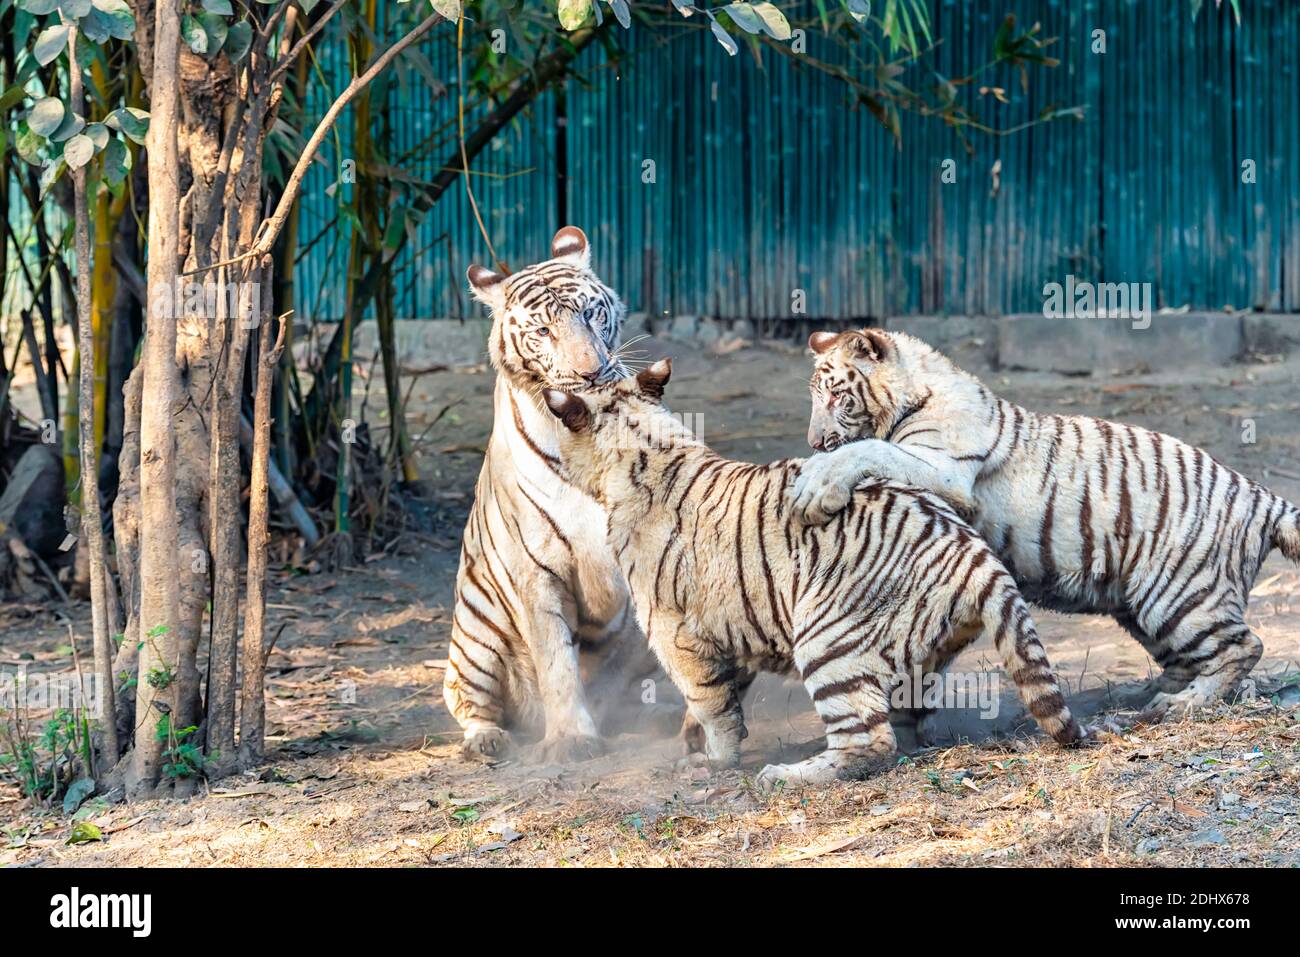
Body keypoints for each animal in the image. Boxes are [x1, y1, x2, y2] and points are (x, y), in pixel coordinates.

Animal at [790, 328, 1300, 717]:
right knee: (1189, 657)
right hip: (1144, 606)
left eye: (837, 394)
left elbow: (868, 449)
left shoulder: (945, 468)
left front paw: (813, 488)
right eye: (815, 396)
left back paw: (1182, 704)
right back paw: (1149, 695)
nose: (813, 441)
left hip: (1182, 594)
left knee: (1244, 646)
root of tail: (1260, 494)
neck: (911, 398)